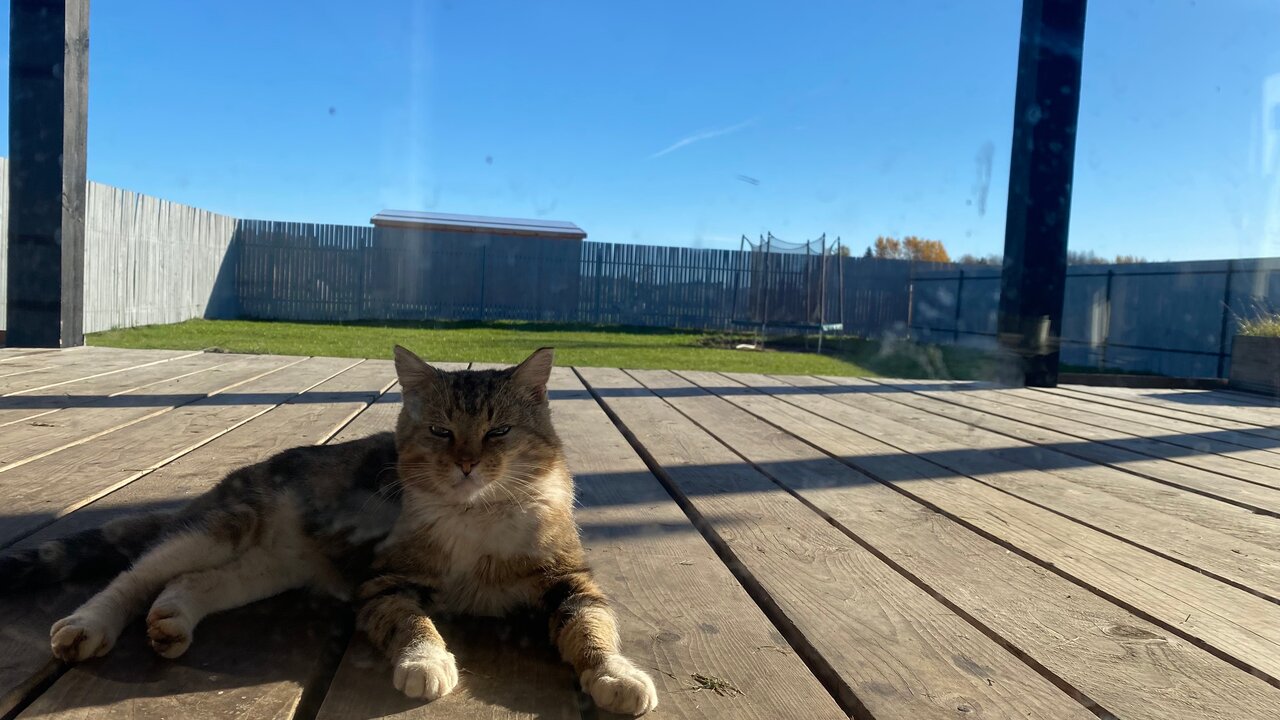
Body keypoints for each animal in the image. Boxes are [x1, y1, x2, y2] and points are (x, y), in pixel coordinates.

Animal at [0, 346, 658, 716]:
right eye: (441, 432)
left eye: (499, 432)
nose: (468, 463)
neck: (478, 516)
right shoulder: (386, 583)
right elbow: (412, 621)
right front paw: (427, 662)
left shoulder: (570, 579)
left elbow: (593, 627)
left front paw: (617, 675)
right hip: (224, 525)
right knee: (136, 575)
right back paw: (87, 625)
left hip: (264, 570)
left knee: (190, 584)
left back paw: (171, 622)